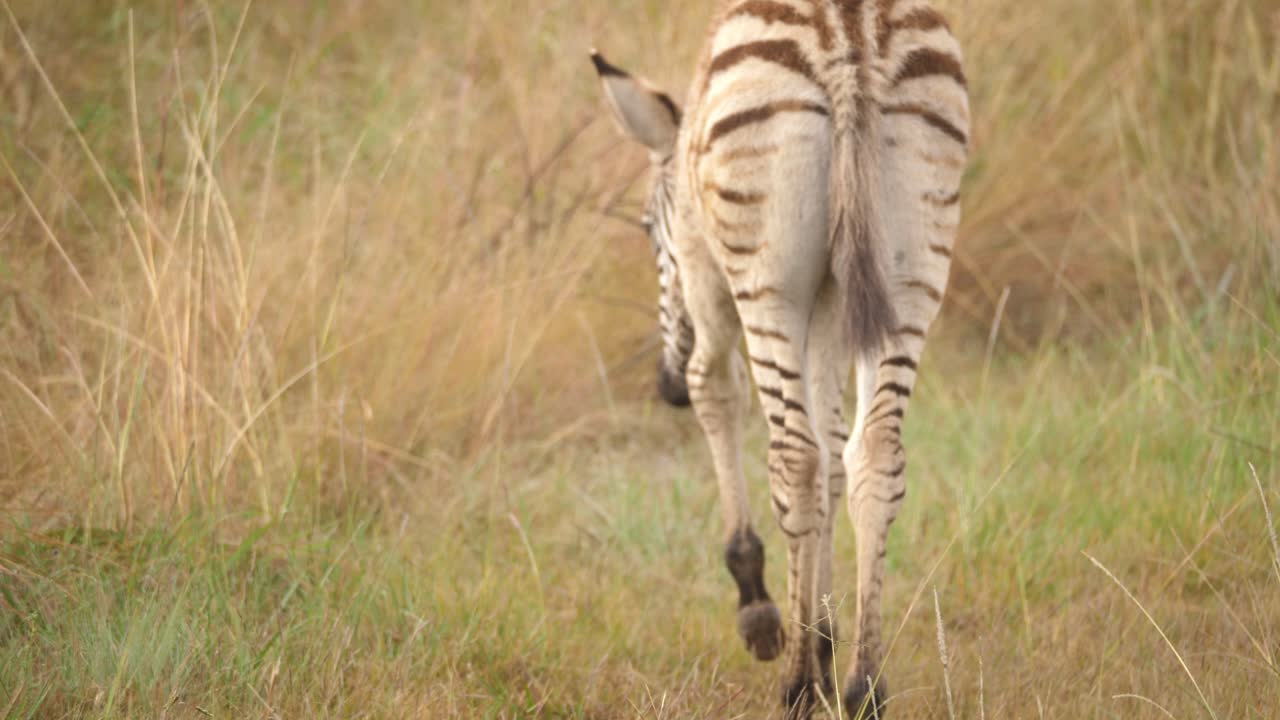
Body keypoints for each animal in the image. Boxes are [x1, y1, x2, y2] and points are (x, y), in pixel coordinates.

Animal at [591, 0, 968, 716]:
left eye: (650, 232)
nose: (663, 389)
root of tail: (851, 42)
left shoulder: (706, 274)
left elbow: (718, 389)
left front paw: (763, 612)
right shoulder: (829, 304)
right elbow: (834, 456)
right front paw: (821, 634)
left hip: (766, 278)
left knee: (793, 457)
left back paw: (796, 686)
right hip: (913, 266)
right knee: (873, 453)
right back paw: (863, 686)